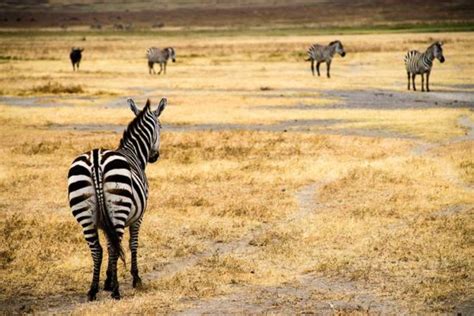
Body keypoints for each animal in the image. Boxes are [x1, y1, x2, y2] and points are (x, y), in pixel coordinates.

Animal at [67, 97, 168, 300]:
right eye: (160, 126)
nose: (155, 156)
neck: (134, 153)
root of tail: (96, 160)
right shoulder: (139, 216)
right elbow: (132, 244)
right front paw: (135, 278)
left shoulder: (105, 223)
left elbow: (107, 244)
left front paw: (106, 280)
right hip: (119, 210)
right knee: (115, 248)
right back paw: (116, 290)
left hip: (85, 214)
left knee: (97, 249)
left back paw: (93, 290)